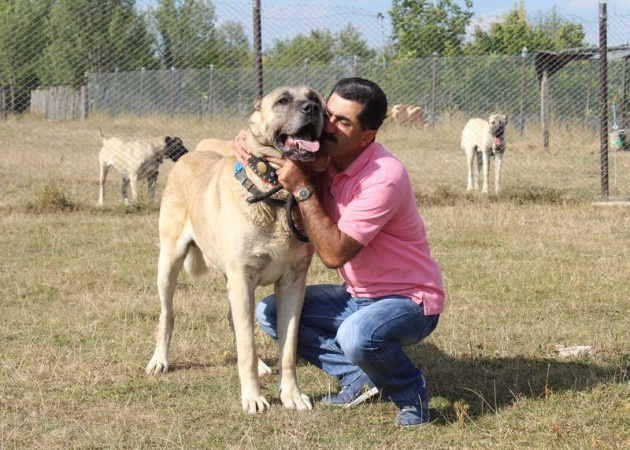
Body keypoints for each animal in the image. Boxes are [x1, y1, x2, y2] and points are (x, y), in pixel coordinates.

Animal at [147, 86, 326, 414]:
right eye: (283, 100)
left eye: (315, 98)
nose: (312, 109)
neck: (275, 197)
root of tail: (188, 155)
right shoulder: (242, 280)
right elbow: (246, 345)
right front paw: (253, 397)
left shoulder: (292, 283)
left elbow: (287, 349)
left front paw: (291, 395)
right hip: (168, 263)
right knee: (168, 314)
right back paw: (159, 361)